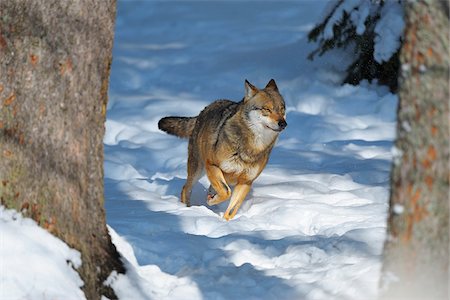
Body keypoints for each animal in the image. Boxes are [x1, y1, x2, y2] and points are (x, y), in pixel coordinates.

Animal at [156, 79, 286, 220]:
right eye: (267, 109)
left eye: (282, 109)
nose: (283, 123)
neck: (250, 147)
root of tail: (204, 110)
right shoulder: (211, 164)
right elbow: (226, 191)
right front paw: (211, 201)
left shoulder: (246, 182)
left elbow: (231, 209)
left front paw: (225, 223)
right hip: (198, 170)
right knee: (186, 188)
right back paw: (187, 209)